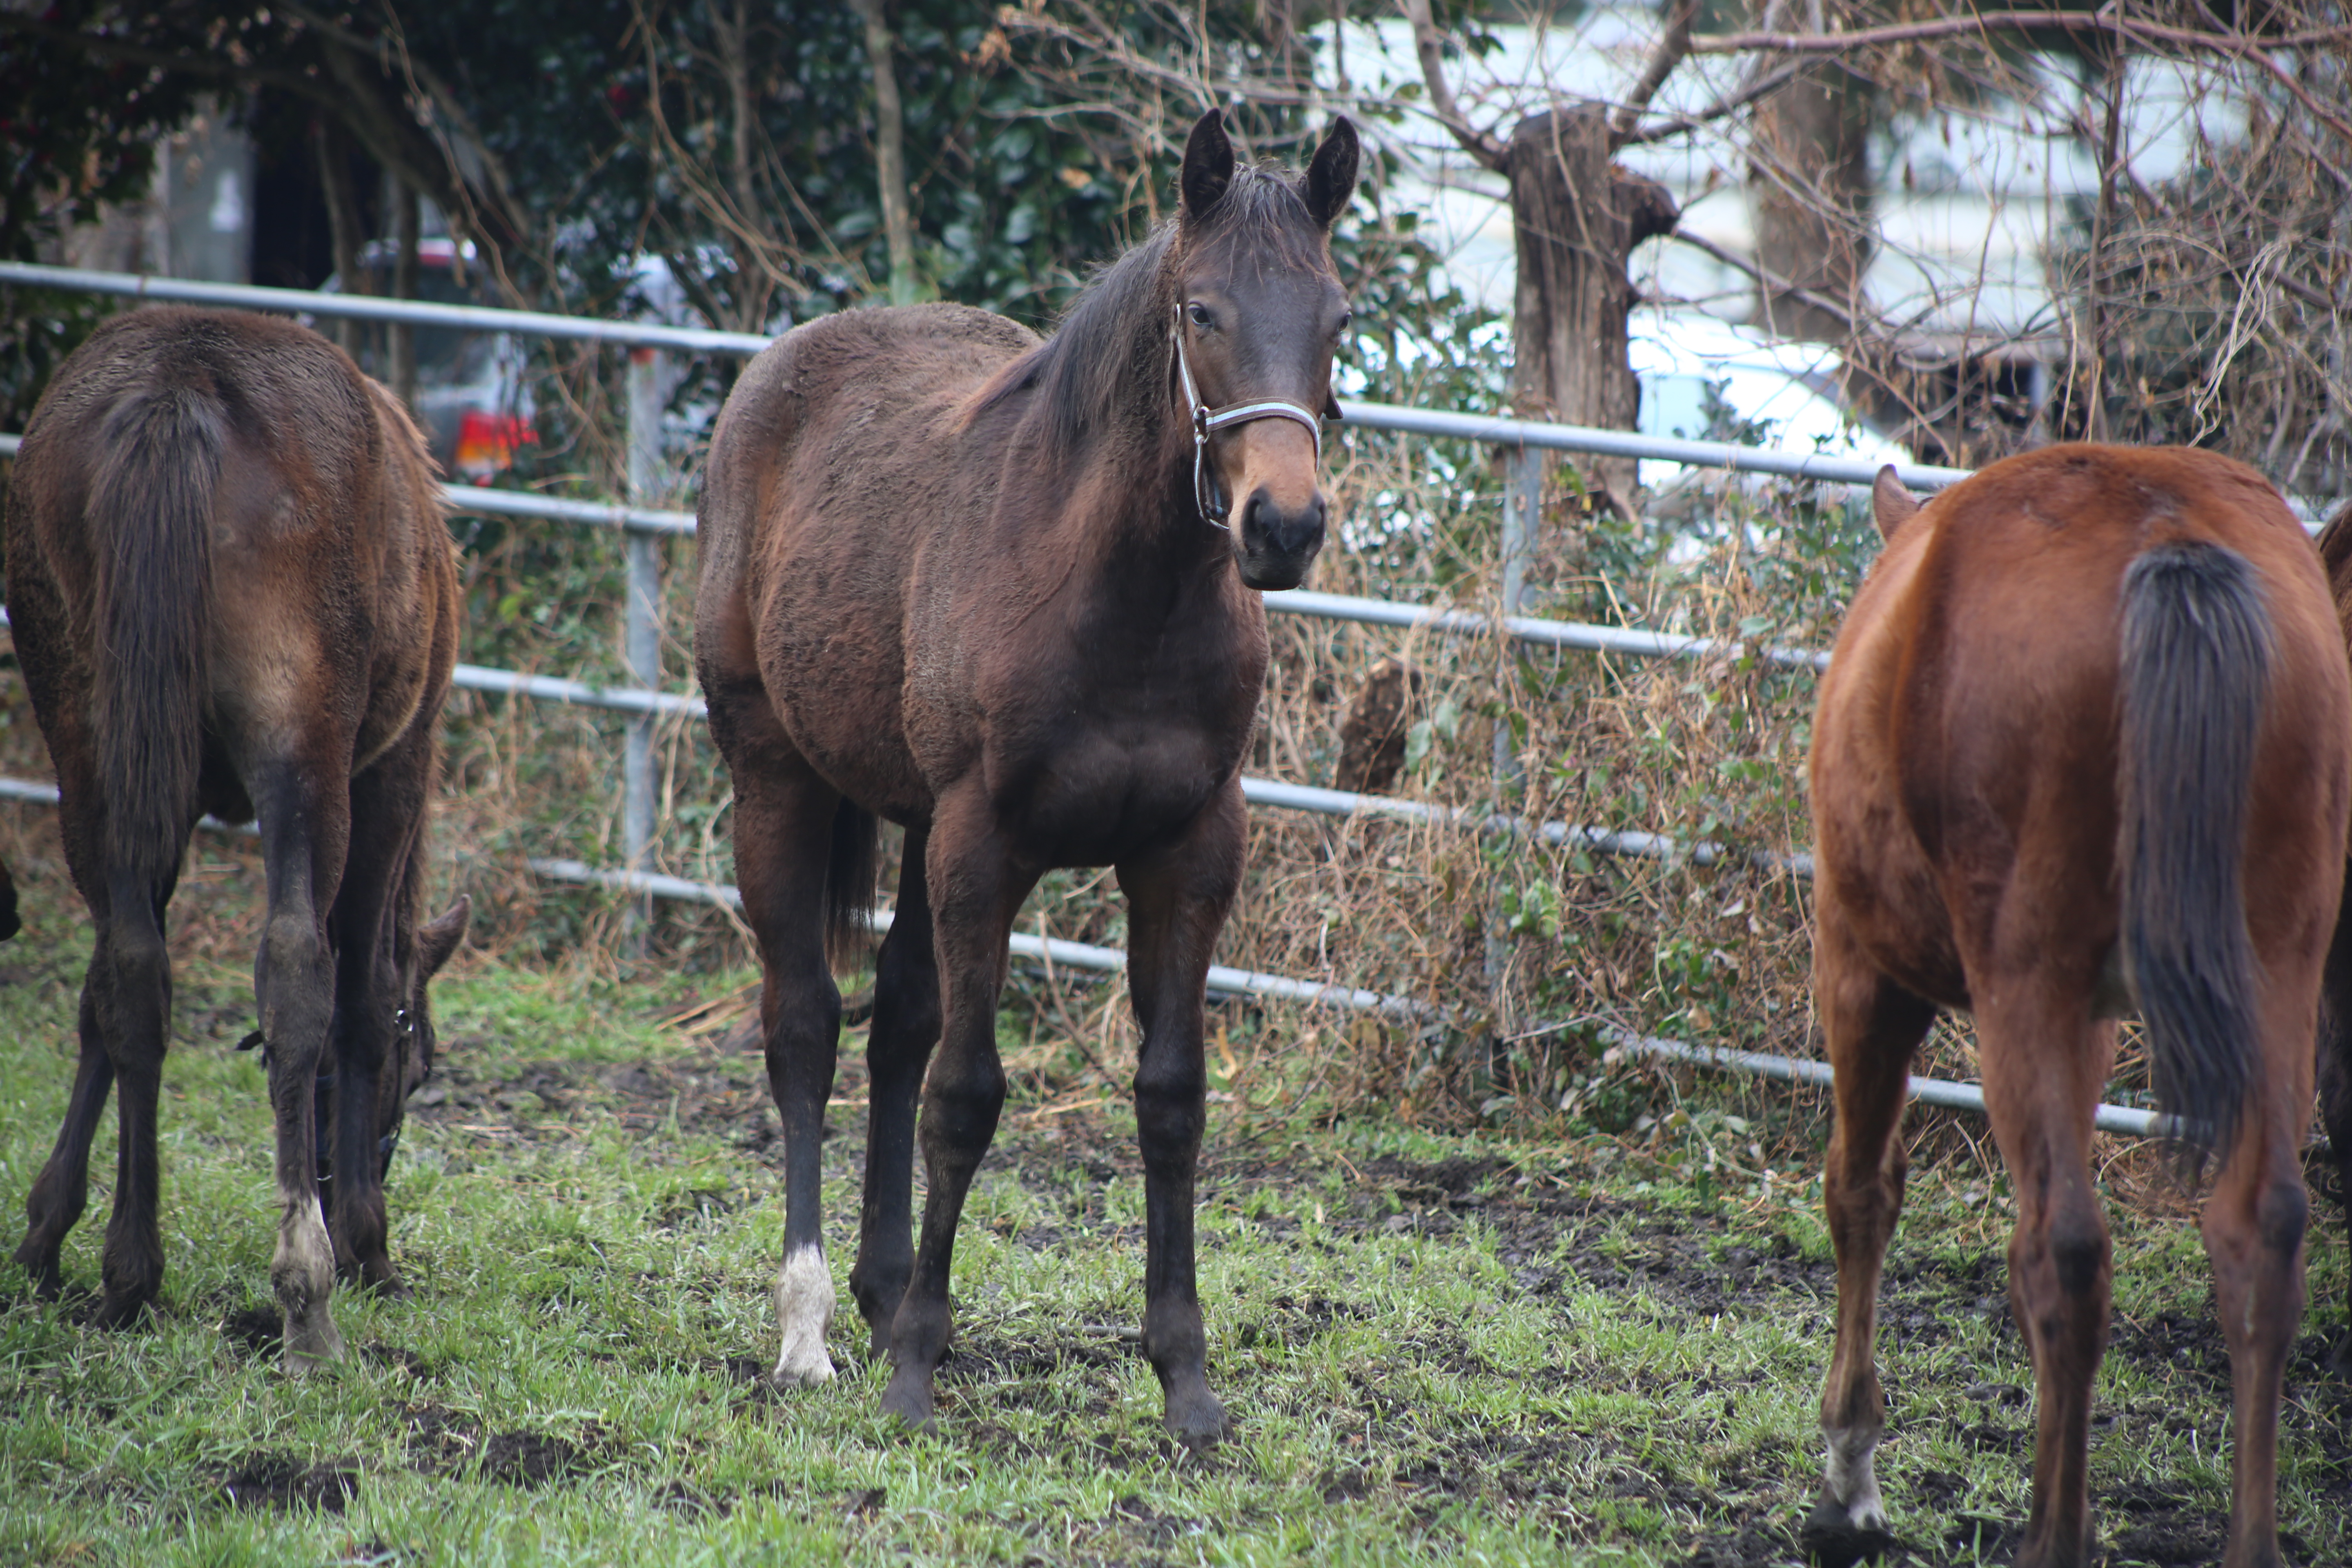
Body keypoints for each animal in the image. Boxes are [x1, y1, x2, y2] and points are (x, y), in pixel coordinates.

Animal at [3, 305, 472, 1363]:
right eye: (420, 1065)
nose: (366, 1180)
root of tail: (182, 388)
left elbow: (101, 1000)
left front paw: (48, 1229)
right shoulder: (396, 767)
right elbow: (361, 994)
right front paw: (369, 1243)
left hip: (90, 739)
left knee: (130, 972)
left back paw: (130, 1271)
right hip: (303, 753)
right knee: (296, 965)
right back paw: (307, 1289)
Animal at [696, 113, 1364, 1448]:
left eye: (1336, 318)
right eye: (1202, 310)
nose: (1281, 527)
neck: (1120, 596)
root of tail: (773, 374)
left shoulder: (1189, 852)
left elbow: (1169, 1098)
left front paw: (1185, 1380)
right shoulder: (984, 845)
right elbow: (965, 1092)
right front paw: (911, 1376)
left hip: (907, 819)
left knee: (896, 1020)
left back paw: (882, 1289)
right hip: (775, 776)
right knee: (805, 1025)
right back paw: (810, 1332)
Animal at [1806, 444, 2342, 1568]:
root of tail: (2165, 531)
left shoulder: (1860, 964)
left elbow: (1861, 1190)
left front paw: (1849, 1474)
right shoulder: (2095, 1019)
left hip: (2022, 990)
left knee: (2062, 1251)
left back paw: (2047, 1536)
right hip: (2276, 978)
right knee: (2260, 1236)